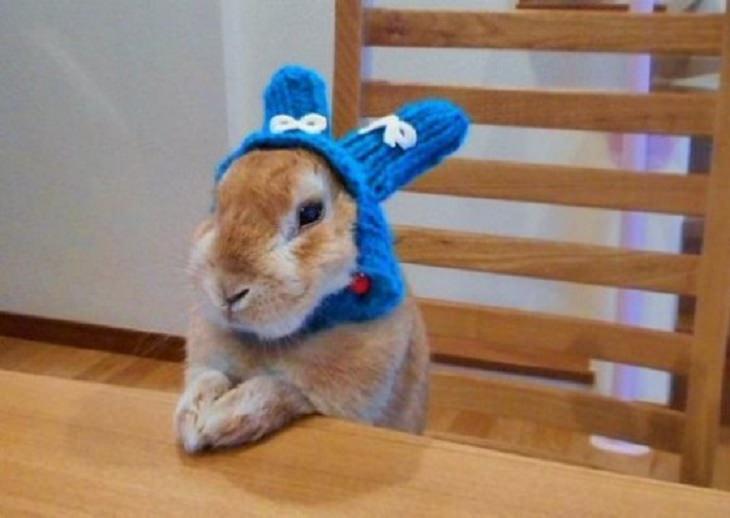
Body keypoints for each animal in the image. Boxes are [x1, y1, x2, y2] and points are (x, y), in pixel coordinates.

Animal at [173, 67, 466, 452]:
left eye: (310, 213)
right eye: (217, 203)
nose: (228, 290)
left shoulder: (328, 399)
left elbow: (280, 390)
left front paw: (220, 421)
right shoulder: (207, 360)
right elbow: (207, 377)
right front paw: (191, 420)